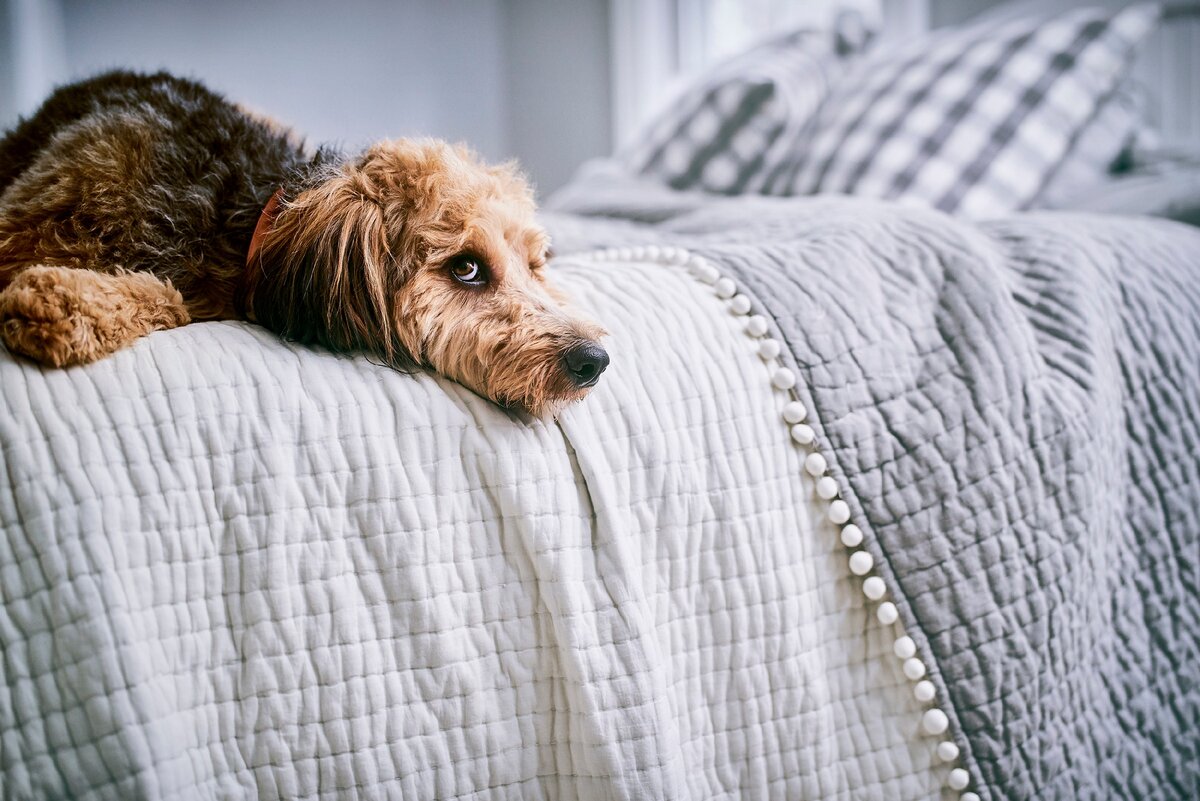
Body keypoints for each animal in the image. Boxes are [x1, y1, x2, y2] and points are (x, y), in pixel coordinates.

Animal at [0, 71, 604, 417]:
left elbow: (167, 297)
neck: (246, 214)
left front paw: (62, 302)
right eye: (466, 268)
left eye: (536, 265)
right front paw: (58, 301)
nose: (595, 361)